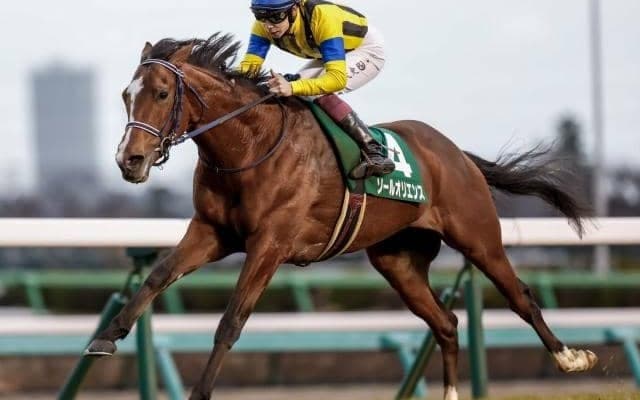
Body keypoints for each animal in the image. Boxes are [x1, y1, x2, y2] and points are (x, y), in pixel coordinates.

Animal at [86, 33, 598, 400]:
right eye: (126, 94)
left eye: (161, 92)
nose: (129, 160)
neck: (249, 145)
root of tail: (457, 154)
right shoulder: (212, 232)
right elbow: (158, 276)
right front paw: (105, 338)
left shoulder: (270, 244)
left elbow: (232, 320)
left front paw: (201, 393)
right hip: (397, 260)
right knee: (446, 323)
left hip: (478, 237)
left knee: (520, 297)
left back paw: (570, 358)